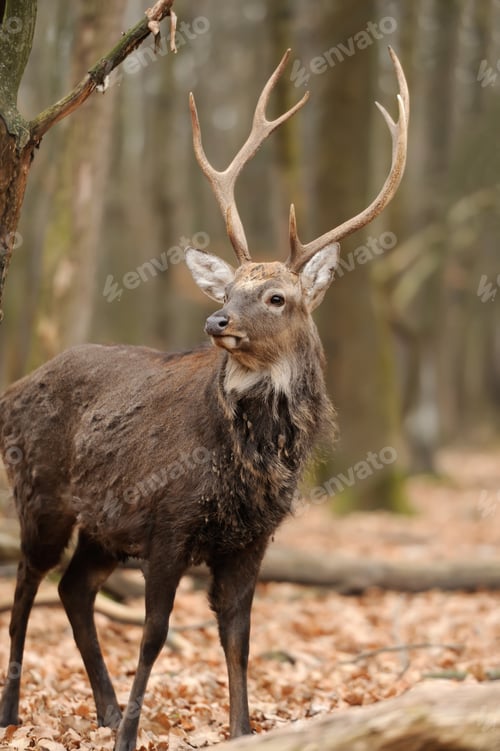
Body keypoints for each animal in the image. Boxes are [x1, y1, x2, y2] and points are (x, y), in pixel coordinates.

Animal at [0, 48, 408, 751]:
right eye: (231, 287)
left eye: (276, 296)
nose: (217, 320)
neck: (245, 463)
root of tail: (13, 391)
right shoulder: (168, 521)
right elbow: (155, 634)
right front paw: (132, 737)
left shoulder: (252, 539)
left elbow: (238, 638)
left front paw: (240, 729)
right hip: (41, 493)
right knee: (27, 588)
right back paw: (13, 711)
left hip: (103, 527)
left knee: (74, 590)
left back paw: (104, 709)